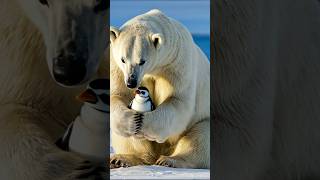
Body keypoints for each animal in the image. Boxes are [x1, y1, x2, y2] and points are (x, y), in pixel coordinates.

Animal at [110, 9, 210, 169]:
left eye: (142, 61)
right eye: (123, 59)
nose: (131, 82)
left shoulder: (177, 63)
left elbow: (177, 101)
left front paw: (144, 123)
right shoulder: (117, 66)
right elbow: (118, 95)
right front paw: (132, 121)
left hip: (203, 119)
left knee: (200, 138)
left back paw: (170, 160)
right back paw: (122, 159)